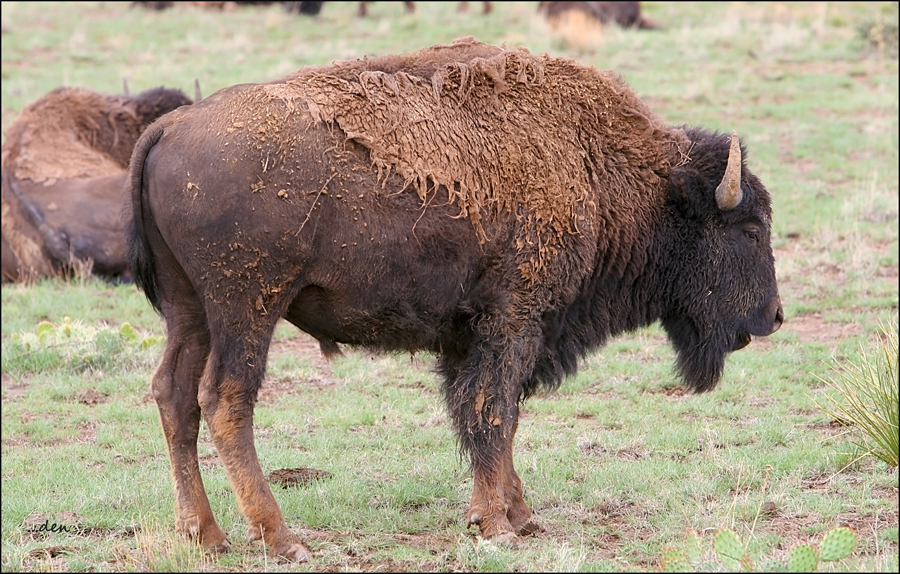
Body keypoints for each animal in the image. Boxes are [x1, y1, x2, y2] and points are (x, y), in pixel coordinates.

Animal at [125, 35, 780, 564]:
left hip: (189, 312)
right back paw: (283, 538)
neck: (597, 165)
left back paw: (205, 535)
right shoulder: (515, 320)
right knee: (225, 400)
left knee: (174, 395)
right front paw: (497, 523)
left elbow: (491, 416)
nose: (773, 317)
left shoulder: (473, 333)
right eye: (749, 229)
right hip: (249, 307)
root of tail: (168, 128)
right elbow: (493, 410)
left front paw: (519, 515)